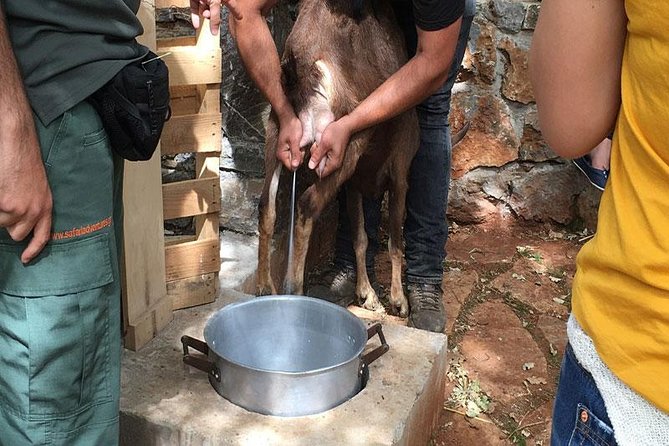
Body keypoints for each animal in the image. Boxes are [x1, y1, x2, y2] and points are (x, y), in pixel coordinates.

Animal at [254, 0, 418, 318]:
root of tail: (302, 63)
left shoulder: (352, 184)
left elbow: (360, 237)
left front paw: (367, 294)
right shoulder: (400, 172)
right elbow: (395, 240)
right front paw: (398, 301)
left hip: (279, 133)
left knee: (266, 205)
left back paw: (265, 287)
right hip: (339, 146)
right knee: (306, 204)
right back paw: (294, 289)